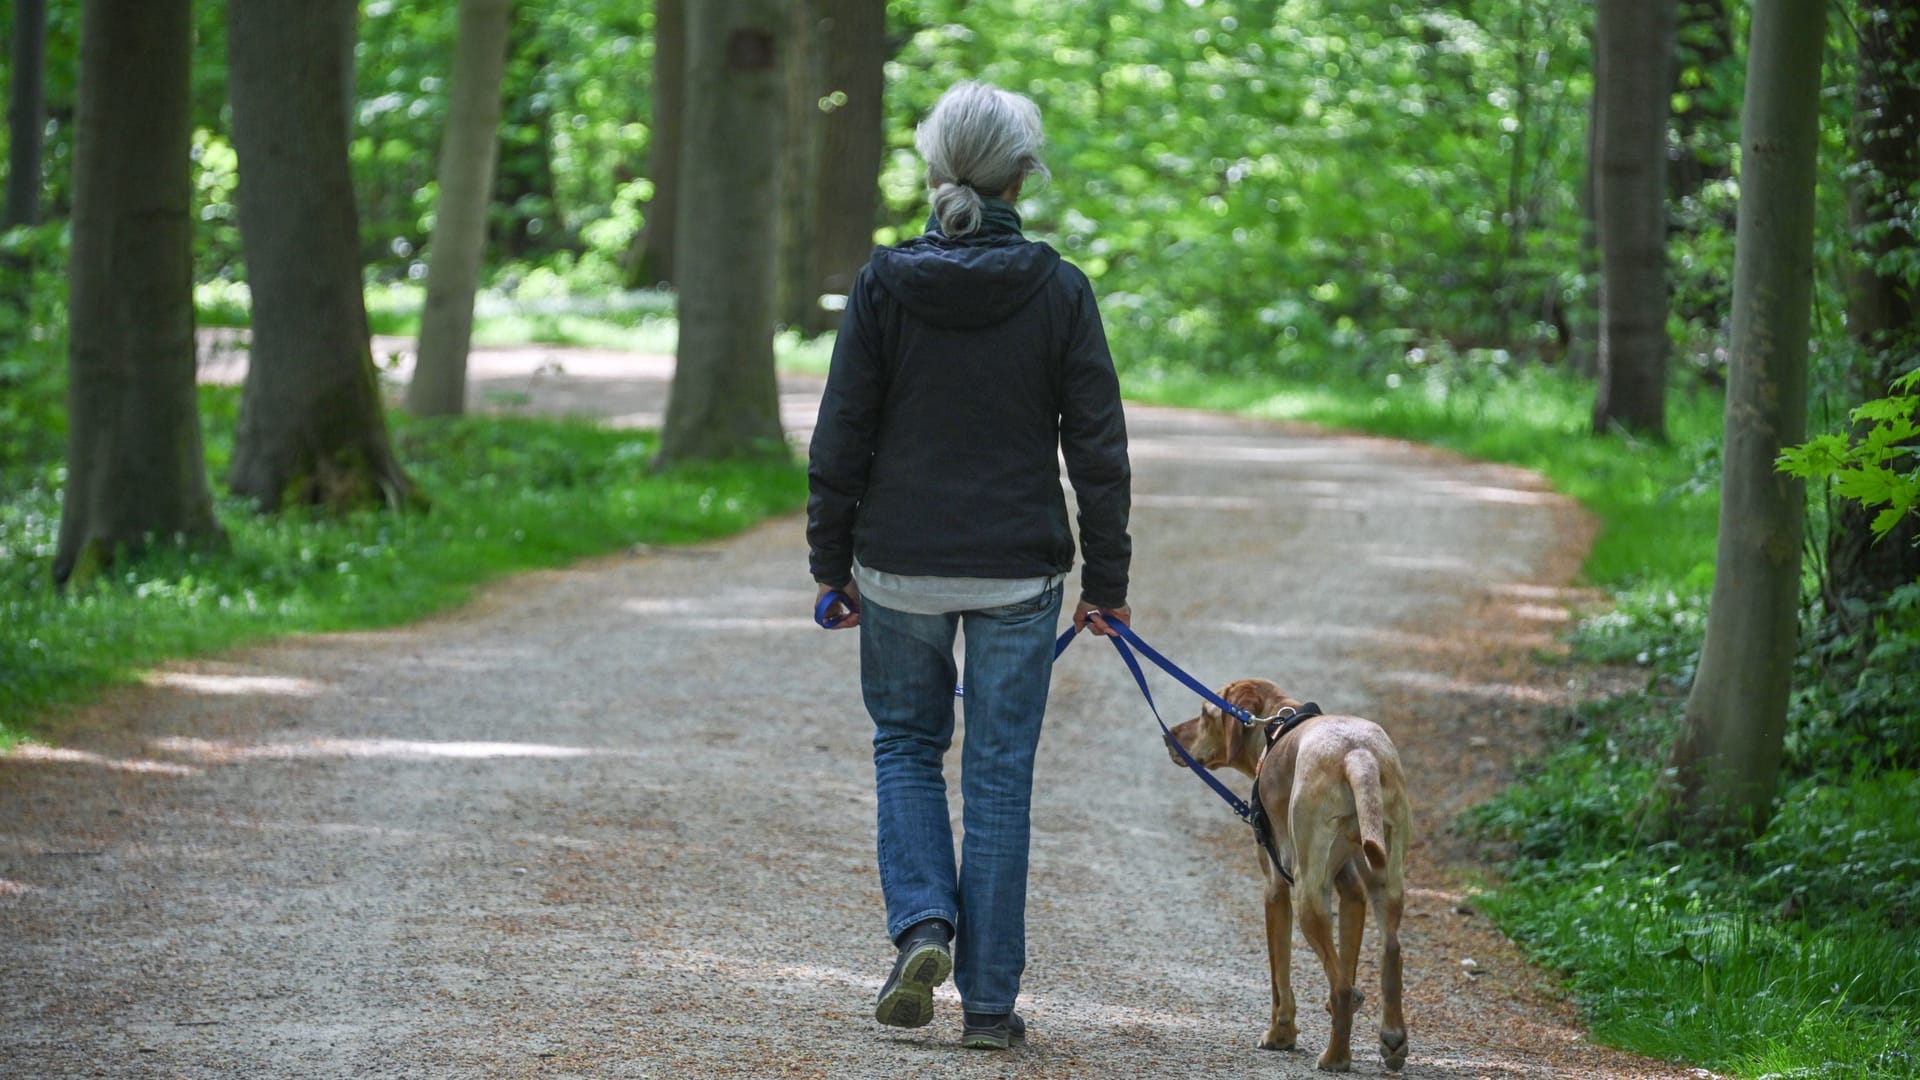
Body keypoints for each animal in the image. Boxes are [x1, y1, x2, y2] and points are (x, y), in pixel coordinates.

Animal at [1152, 676, 1413, 1060]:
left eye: (1204, 713)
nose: (1168, 735)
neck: (1276, 729)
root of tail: (1357, 753)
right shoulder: (1351, 889)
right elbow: (1346, 965)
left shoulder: (1275, 889)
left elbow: (1280, 978)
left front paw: (1280, 1034)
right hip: (1386, 883)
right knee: (1388, 953)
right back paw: (1391, 1040)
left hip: (1307, 895)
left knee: (1338, 986)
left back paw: (1335, 1058)